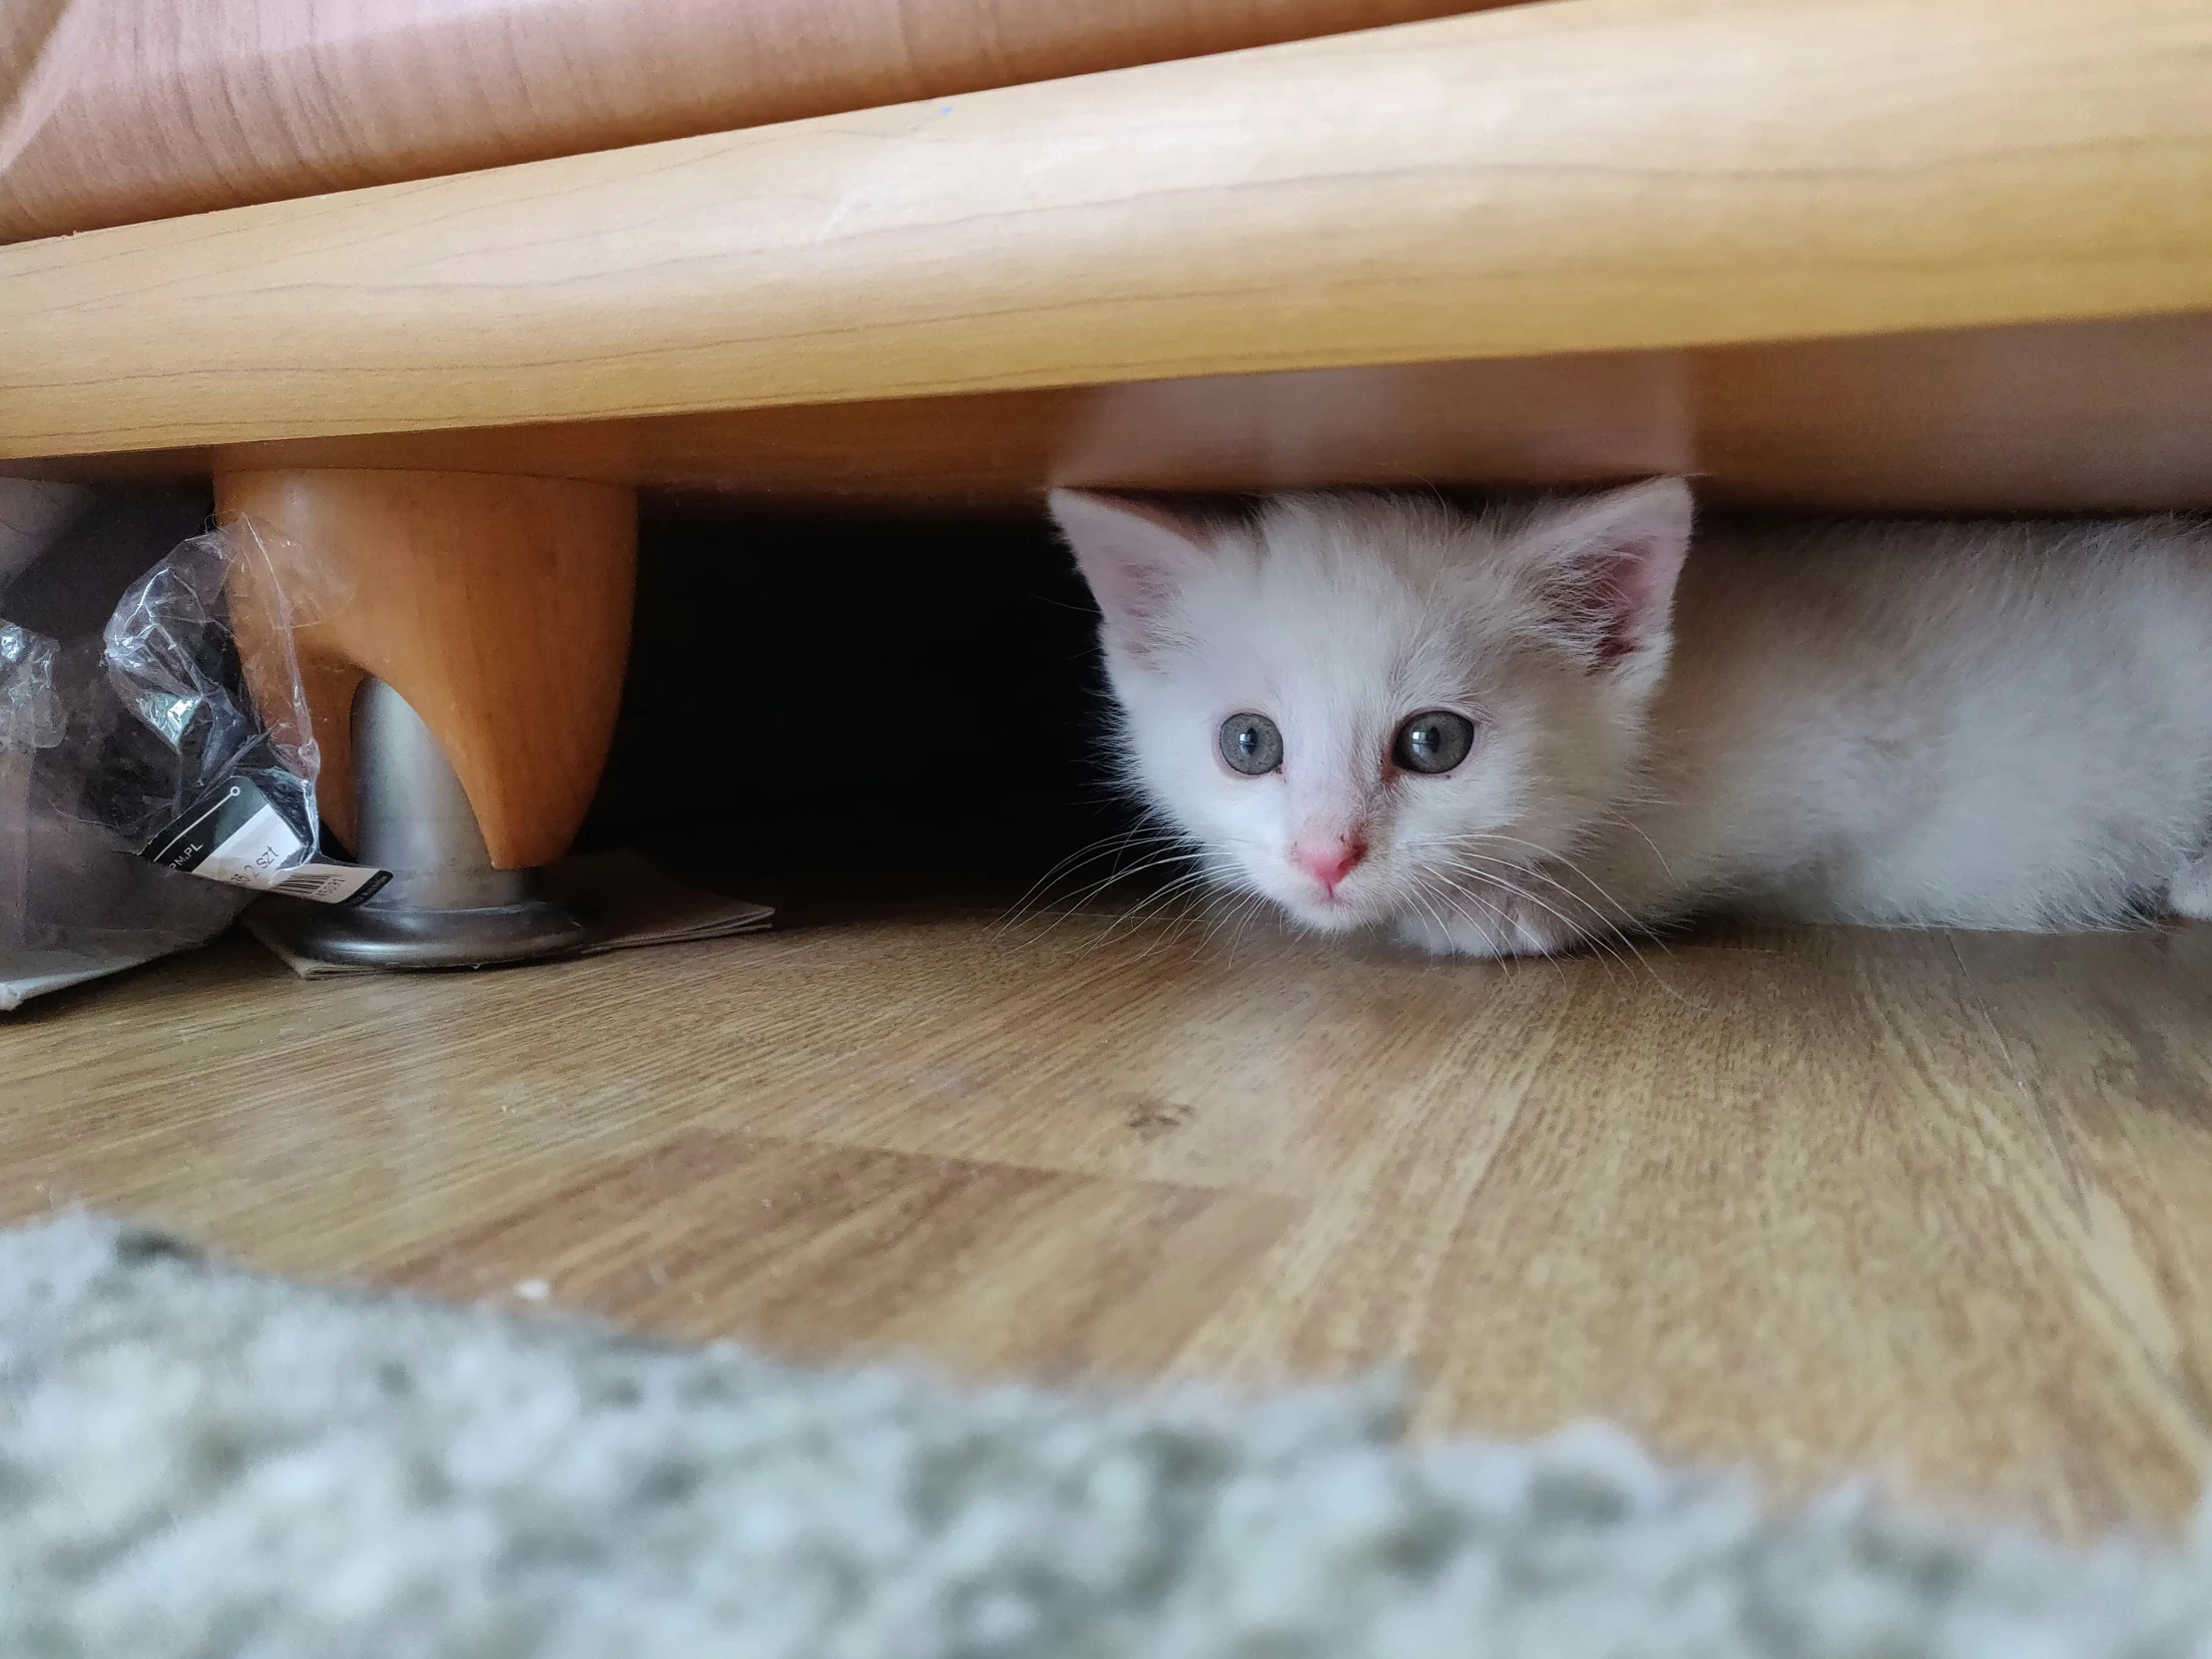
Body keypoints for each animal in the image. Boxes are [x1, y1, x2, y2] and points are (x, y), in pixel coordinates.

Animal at [1043, 477, 2212, 959]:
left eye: (1433, 742)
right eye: (1249, 744)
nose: (1324, 857)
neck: (1664, 707)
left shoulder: (1851, 749)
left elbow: (1663, 849)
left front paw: (1516, 902)